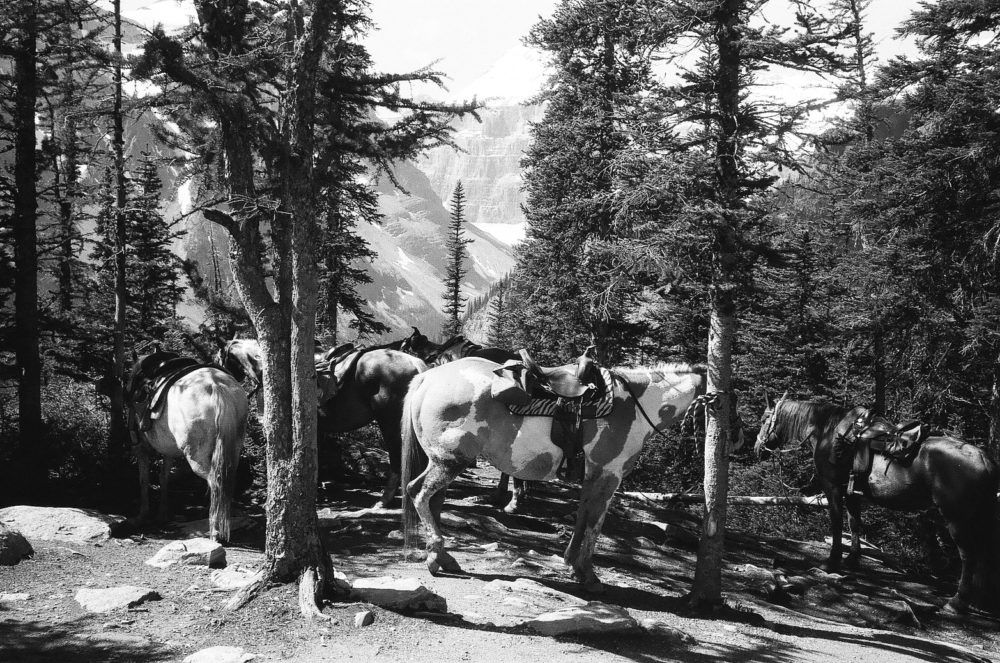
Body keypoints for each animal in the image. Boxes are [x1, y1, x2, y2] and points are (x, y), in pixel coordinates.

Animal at [125, 350, 250, 544]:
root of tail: (217, 386)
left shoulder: (141, 447)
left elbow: (144, 479)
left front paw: (142, 516)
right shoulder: (167, 449)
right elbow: (163, 478)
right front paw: (162, 515)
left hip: (196, 456)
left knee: (215, 482)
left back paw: (214, 531)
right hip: (233, 449)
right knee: (226, 483)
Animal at [400, 358, 744, 592]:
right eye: (729, 402)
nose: (739, 439)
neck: (635, 407)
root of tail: (427, 377)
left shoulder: (592, 476)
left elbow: (581, 517)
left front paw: (573, 566)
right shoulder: (608, 475)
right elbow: (595, 523)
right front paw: (589, 575)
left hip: (444, 462)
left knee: (432, 501)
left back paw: (443, 557)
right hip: (449, 461)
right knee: (418, 493)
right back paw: (436, 558)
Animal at [752, 396, 996, 616]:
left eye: (765, 419)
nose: (757, 448)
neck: (827, 432)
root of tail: (984, 457)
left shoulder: (833, 487)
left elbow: (837, 523)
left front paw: (831, 562)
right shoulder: (851, 491)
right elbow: (854, 523)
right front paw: (852, 559)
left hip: (956, 518)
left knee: (968, 556)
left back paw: (956, 603)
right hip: (978, 517)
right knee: (985, 555)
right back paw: (978, 602)